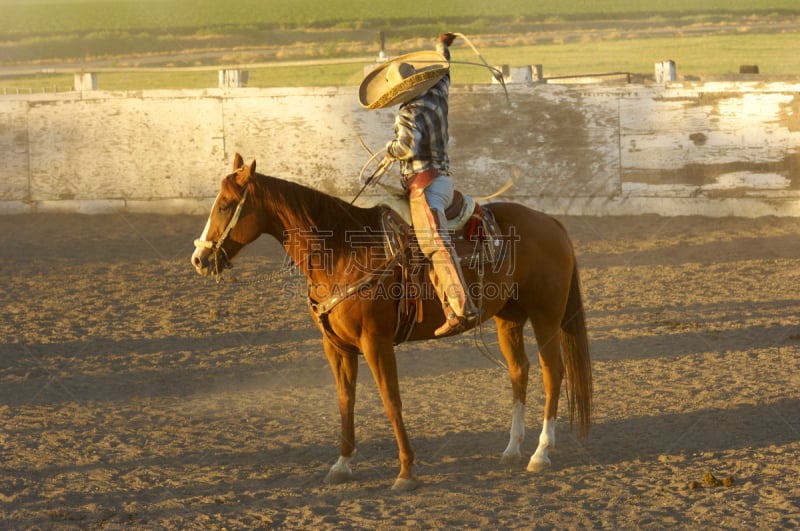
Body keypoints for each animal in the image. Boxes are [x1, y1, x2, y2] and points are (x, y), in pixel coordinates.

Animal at [192, 153, 592, 490]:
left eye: (225, 205)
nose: (199, 258)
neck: (343, 252)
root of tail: (550, 221)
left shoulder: (376, 341)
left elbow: (391, 401)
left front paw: (406, 471)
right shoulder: (336, 346)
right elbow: (345, 401)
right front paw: (342, 465)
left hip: (545, 317)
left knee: (553, 373)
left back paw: (541, 452)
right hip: (507, 319)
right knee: (519, 371)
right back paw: (512, 449)